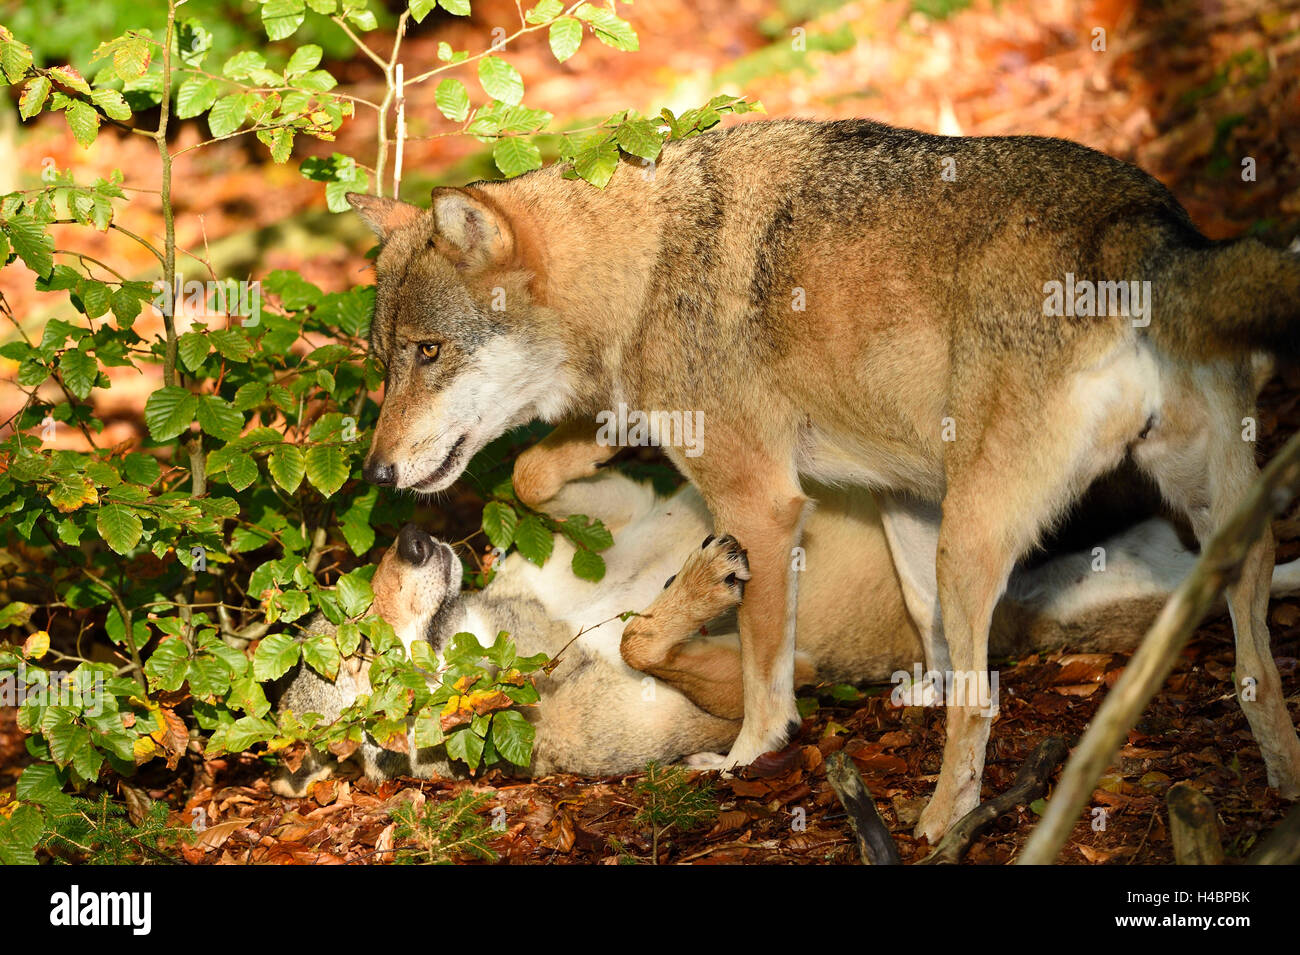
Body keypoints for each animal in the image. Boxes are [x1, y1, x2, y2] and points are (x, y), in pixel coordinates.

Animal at [345, 119, 1300, 841]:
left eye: (429, 352)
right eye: (387, 360)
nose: (378, 473)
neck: (642, 276)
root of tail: (1144, 226)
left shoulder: (763, 506)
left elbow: (762, 669)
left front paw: (749, 755)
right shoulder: (897, 495)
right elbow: (535, 470)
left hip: (975, 535)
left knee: (983, 703)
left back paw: (941, 818)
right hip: (1170, 511)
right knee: (1246, 609)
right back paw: (1280, 767)